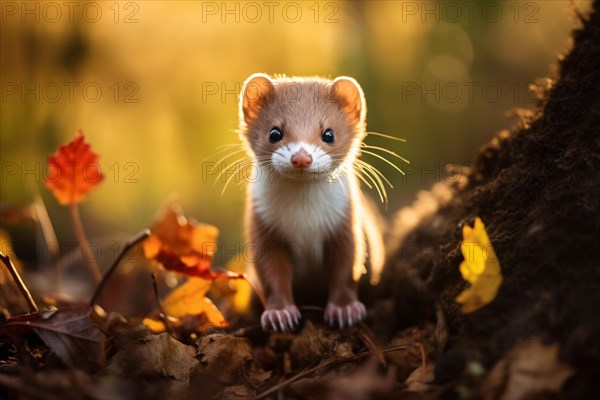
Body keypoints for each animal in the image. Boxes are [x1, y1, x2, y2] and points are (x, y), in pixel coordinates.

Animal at [237, 72, 382, 332]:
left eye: (328, 134)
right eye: (275, 133)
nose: (302, 157)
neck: (304, 218)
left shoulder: (346, 222)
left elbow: (348, 264)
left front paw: (345, 309)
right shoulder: (263, 225)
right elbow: (271, 272)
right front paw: (280, 313)